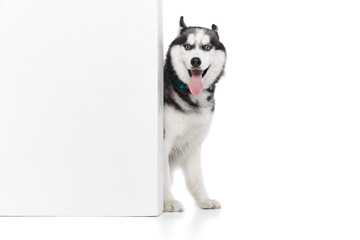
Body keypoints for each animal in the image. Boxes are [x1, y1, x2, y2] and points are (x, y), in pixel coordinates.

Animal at [164, 16, 226, 212]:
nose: (196, 61)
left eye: (207, 47)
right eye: (188, 46)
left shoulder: (193, 144)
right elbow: (163, 176)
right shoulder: (165, 141)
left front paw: (204, 200)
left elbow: (196, 177)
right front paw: (167, 202)